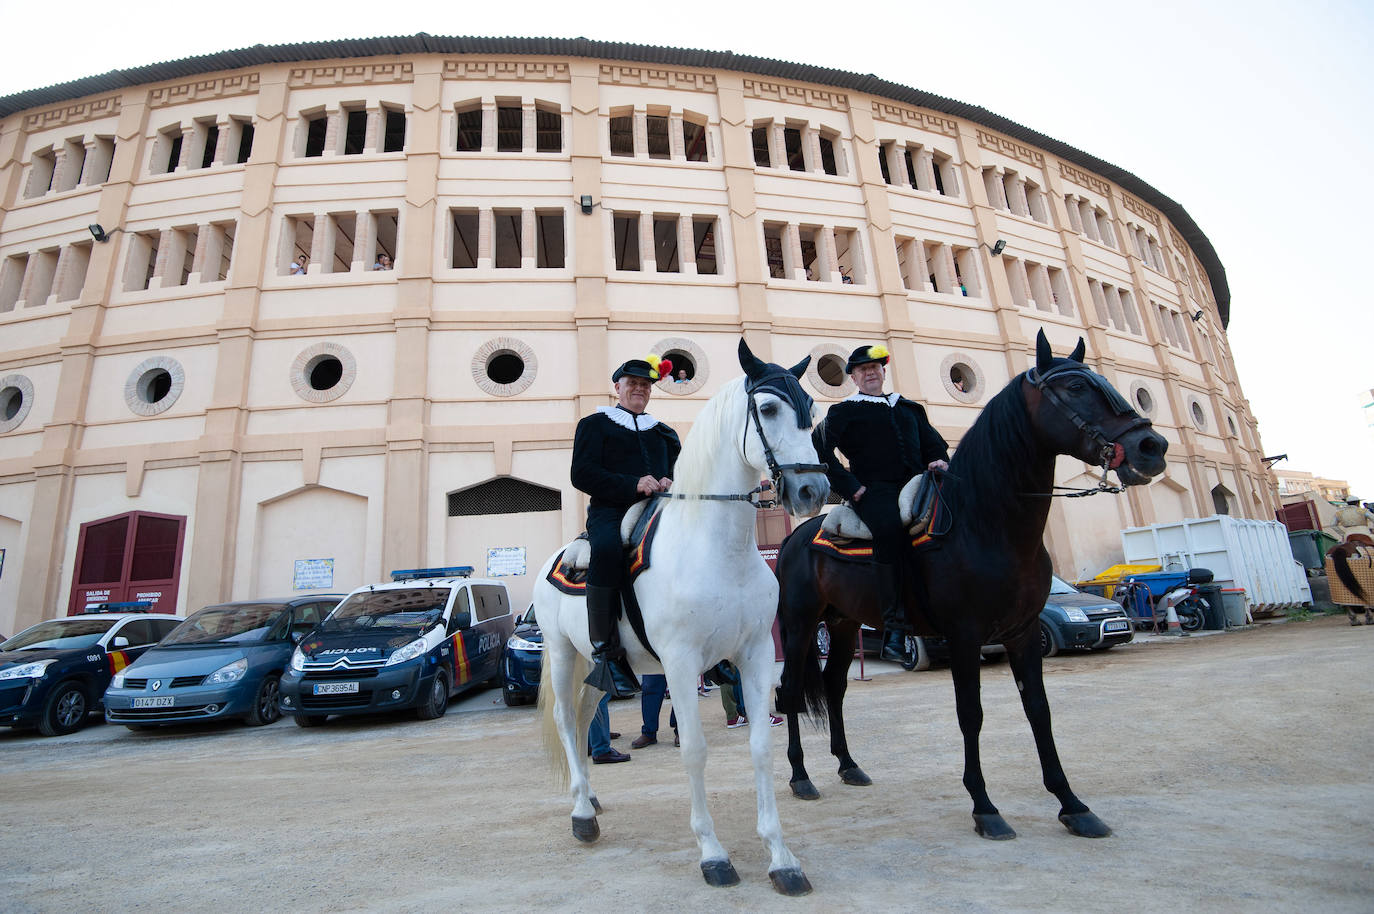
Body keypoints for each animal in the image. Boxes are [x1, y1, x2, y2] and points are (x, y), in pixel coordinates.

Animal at [533, 338, 824, 896]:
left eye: (812, 411)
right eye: (768, 408)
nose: (812, 492)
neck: (716, 549)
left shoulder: (757, 655)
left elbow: (761, 747)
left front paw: (782, 858)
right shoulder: (682, 663)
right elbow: (693, 750)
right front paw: (713, 854)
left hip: (599, 666)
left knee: (583, 717)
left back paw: (590, 796)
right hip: (560, 654)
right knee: (563, 718)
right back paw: (582, 814)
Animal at [780, 331, 1165, 835]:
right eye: (1077, 387)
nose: (1152, 446)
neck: (986, 524)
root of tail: (798, 535)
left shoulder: (1023, 634)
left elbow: (1038, 711)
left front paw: (1072, 805)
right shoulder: (964, 637)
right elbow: (971, 714)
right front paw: (985, 807)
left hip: (842, 625)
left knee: (834, 686)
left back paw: (848, 765)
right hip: (799, 624)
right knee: (790, 690)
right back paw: (801, 777)